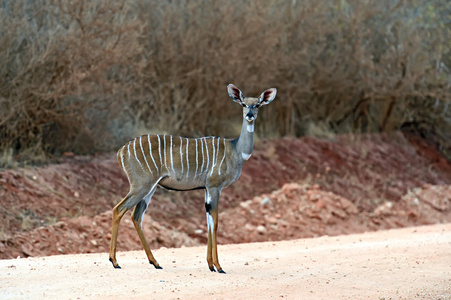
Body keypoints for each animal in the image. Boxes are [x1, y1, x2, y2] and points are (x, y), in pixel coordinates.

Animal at [111, 83, 278, 274]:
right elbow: (215, 221)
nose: (250, 115)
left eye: (257, 105)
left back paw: (155, 262)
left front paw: (210, 265)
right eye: (243, 104)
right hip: (140, 185)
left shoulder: (207, 189)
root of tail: (121, 152)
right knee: (118, 209)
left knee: (136, 215)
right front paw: (219, 267)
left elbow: (208, 221)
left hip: (150, 188)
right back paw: (114, 261)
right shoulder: (214, 186)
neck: (235, 150)